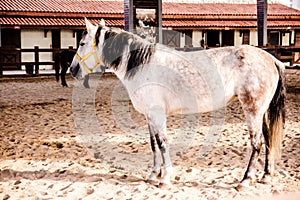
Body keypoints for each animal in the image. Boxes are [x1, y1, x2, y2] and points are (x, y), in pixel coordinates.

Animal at [70, 19, 286, 189]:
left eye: (81, 43)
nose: (72, 69)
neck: (142, 65)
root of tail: (271, 59)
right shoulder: (150, 116)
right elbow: (154, 144)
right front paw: (153, 175)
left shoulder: (157, 115)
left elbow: (163, 143)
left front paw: (165, 178)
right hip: (261, 111)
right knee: (267, 138)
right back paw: (266, 175)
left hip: (252, 109)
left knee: (257, 142)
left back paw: (245, 180)